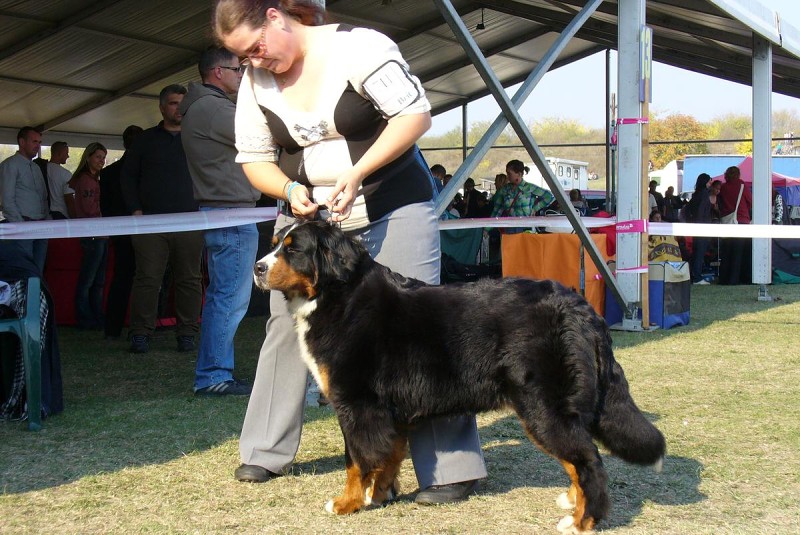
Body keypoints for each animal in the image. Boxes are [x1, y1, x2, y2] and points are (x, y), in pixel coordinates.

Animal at [255, 220, 664, 532]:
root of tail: (580, 306)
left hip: (544, 408)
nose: (258, 268)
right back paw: (573, 504)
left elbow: (356, 459)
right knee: (578, 461)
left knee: (589, 461)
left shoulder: (357, 404)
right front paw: (381, 495)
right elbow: (390, 456)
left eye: (293, 250)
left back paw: (583, 521)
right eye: (274, 245)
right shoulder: (390, 411)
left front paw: (348, 502)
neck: (337, 294)